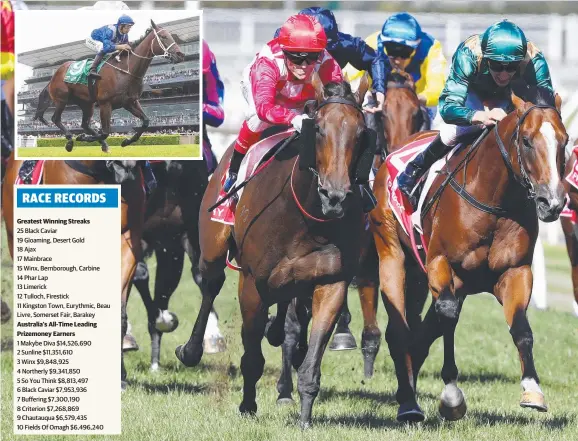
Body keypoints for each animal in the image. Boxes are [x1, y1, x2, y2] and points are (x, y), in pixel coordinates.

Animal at [32, 21, 184, 153]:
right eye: (163, 37)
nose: (180, 54)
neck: (126, 71)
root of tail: (55, 74)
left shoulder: (130, 102)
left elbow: (145, 122)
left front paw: (126, 141)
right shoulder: (105, 103)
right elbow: (105, 132)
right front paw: (82, 137)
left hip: (87, 104)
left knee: (84, 125)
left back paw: (101, 144)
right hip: (61, 99)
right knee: (56, 119)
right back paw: (70, 141)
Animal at [177, 79, 374, 426]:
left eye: (361, 132)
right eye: (318, 129)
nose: (335, 196)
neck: (307, 218)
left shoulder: (331, 282)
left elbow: (310, 361)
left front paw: (305, 418)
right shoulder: (252, 284)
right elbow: (252, 356)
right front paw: (247, 406)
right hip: (213, 248)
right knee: (210, 284)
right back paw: (192, 350)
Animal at [368, 88, 564, 420]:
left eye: (564, 141)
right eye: (526, 140)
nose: (552, 202)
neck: (495, 201)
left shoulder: (515, 272)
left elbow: (521, 328)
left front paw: (532, 389)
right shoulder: (440, 264)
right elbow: (447, 317)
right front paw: (451, 395)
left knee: (422, 332)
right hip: (392, 251)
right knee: (400, 329)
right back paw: (408, 402)